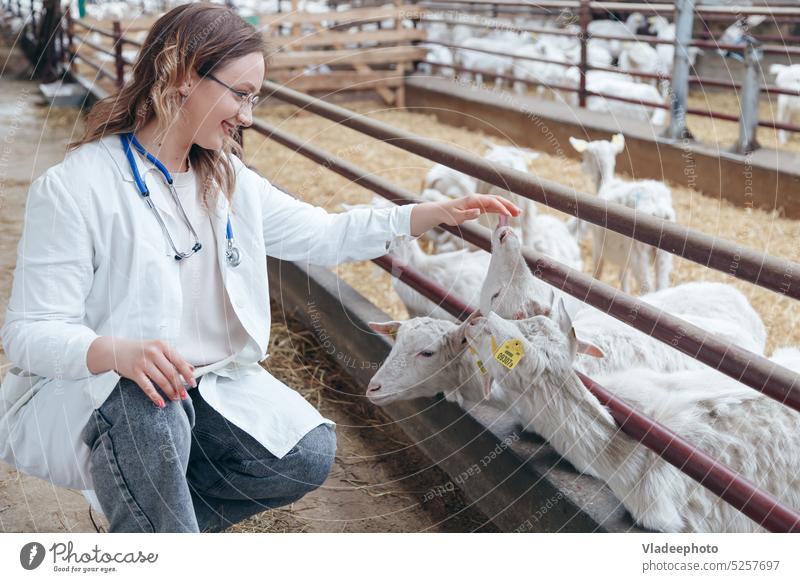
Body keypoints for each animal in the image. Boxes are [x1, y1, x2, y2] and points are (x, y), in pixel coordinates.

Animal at [568, 135, 676, 294]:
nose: (582, 166)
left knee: (647, 288)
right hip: (663, 256)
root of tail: (658, 209)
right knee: (661, 284)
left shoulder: (598, 246)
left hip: (637, 254)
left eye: (586, 156)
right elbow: (623, 278)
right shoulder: (624, 258)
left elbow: (598, 271)